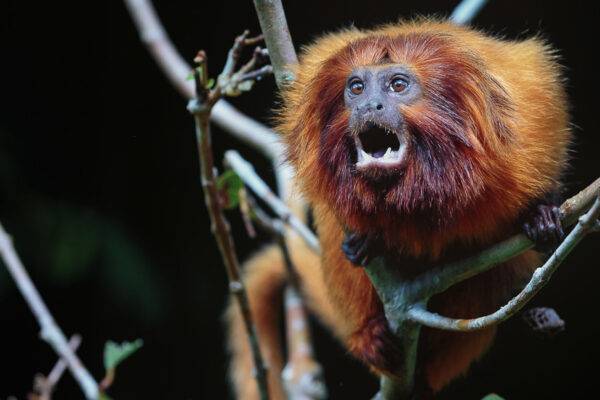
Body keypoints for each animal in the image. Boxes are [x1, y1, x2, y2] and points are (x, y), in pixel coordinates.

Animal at [226, 18, 570, 399]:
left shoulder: (524, 127)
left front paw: (540, 215)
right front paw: (364, 241)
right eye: (356, 88)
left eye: (398, 85)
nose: (369, 105)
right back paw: (371, 332)